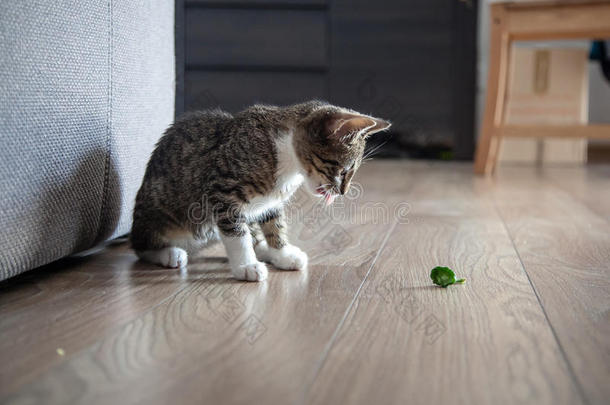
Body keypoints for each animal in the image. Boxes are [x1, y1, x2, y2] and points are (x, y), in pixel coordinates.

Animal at [131, 99, 392, 280]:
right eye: (344, 170)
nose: (342, 192)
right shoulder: (222, 190)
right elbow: (237, 235)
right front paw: (246, 265)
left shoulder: (272, 202)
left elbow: (274, 223)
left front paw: (281, 252)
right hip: (159, 212)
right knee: (140, 245)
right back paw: (168, 253)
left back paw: (263, 249)